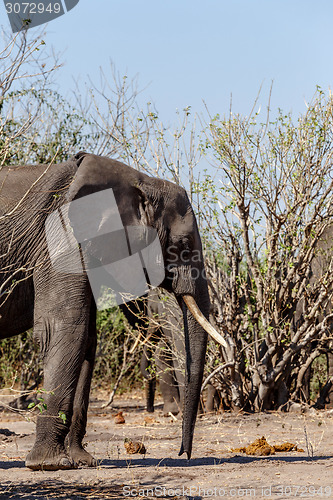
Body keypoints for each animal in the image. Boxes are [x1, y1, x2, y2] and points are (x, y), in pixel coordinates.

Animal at [0, 151, 224, 468]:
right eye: (181, 245)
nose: (184, 453)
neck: (138, 181)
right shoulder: (60, 240)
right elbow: (65, 328)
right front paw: (50, 464)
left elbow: (86, 339)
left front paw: (83, 461)